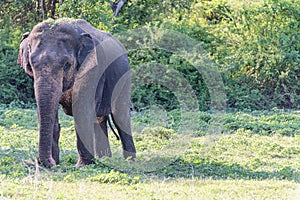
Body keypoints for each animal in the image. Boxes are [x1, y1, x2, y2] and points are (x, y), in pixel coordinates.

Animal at [17, 18, 137, 169]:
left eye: (67, 64)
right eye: (31, 65)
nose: (50, 163)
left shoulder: (92, 70)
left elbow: (82, 109)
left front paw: (82, 166)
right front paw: (56, 163)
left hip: (124, 77)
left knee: (120, 116)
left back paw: (130, 161)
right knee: (100, 119)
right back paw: (104, 158)